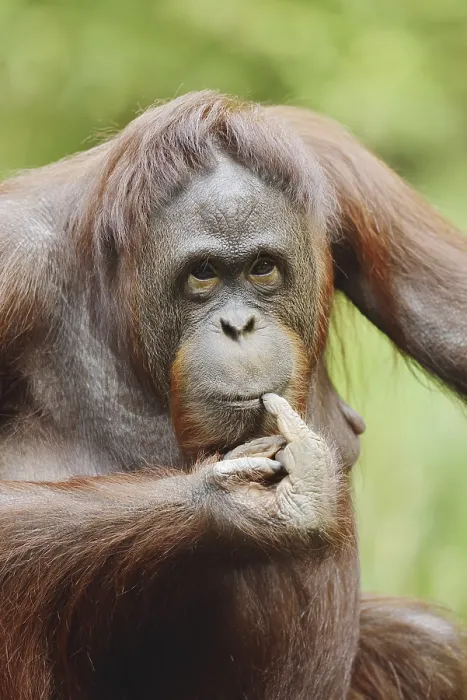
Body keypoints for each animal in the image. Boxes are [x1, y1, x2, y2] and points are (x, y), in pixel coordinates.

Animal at [0, 90, 465, 699]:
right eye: (202, 274)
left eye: (262, 268)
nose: (239, 324)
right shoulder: (13, 263)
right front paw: (244, 505)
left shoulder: (343, 170)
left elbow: (454, 327)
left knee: (435, 645)